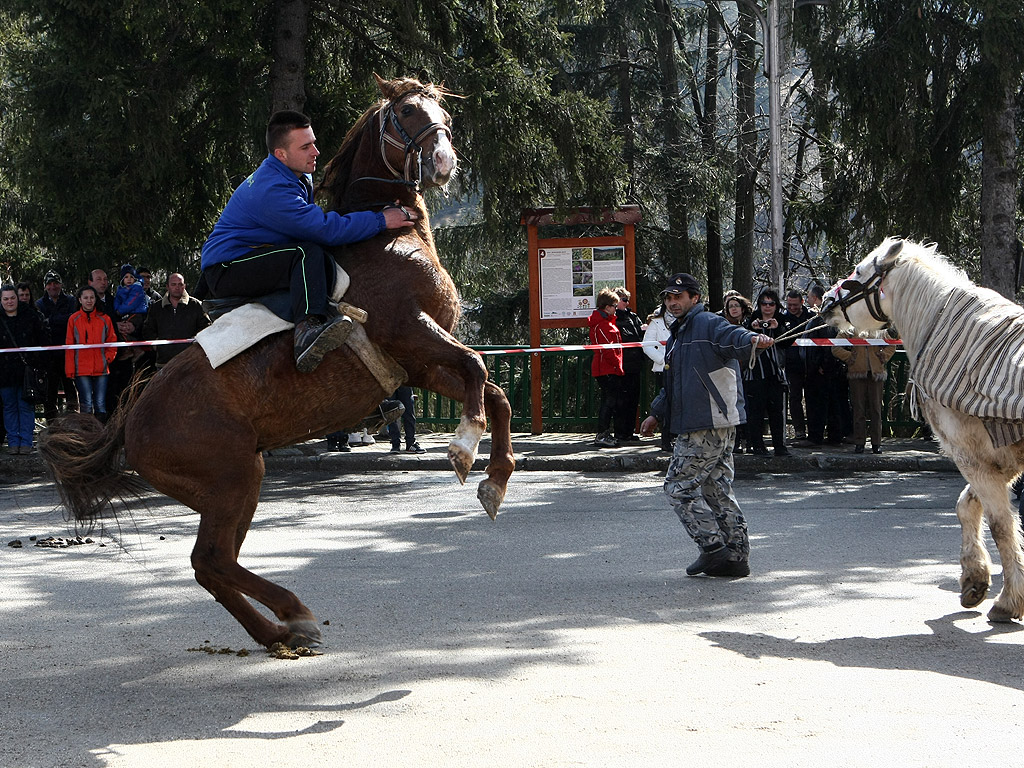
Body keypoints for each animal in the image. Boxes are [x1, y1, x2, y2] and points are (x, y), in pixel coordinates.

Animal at [39, 75, 516, 651]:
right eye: (406, 110)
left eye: (441, 110)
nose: (444, 160)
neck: (384, 240)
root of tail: (128, 422)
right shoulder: (410, 330)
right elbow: (478, 367)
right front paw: (464, 448)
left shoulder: (417, 363)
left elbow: (492, 391)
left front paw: (494, 482)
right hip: (233, 478)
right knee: (211, 560)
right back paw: (293, 614)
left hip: (236, 483)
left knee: (211, 564)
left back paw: (278, 632)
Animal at [823, 239, 1024, 626]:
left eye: (859, 270)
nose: (826, 302)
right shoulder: (997, 460)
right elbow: (967, 506)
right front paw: (974, 581)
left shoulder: (971, 454)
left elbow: (1001, 525)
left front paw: (1008, 601)